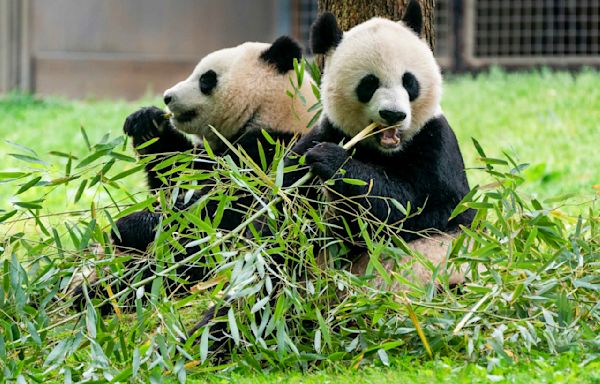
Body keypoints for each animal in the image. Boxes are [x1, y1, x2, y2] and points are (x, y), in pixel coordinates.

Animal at [71, 36, 318, 312]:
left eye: (206, 79)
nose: (167, 97)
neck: (272, 112)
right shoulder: (215, 153)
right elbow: (176, 174)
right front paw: (146, 122)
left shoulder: (271, 155)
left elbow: (219, 213)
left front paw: (128, 225)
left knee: (173, 268)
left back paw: (97, 294)